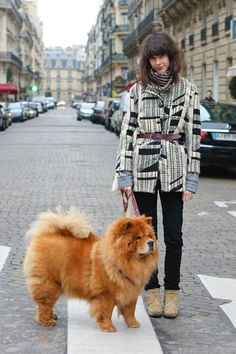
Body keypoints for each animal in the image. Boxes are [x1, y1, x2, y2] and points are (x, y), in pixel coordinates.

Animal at [23, 207, 159, 332]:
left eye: (149, 236)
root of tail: (48, 233)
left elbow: (130, 310)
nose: (151, 242)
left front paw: (133, 323)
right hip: (50, 284)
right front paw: (108, 327)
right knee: (45, 304)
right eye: (138, 237)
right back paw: (47, 321)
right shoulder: (106, 294)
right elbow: (106, 311)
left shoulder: (131, 291)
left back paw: (53, 316)